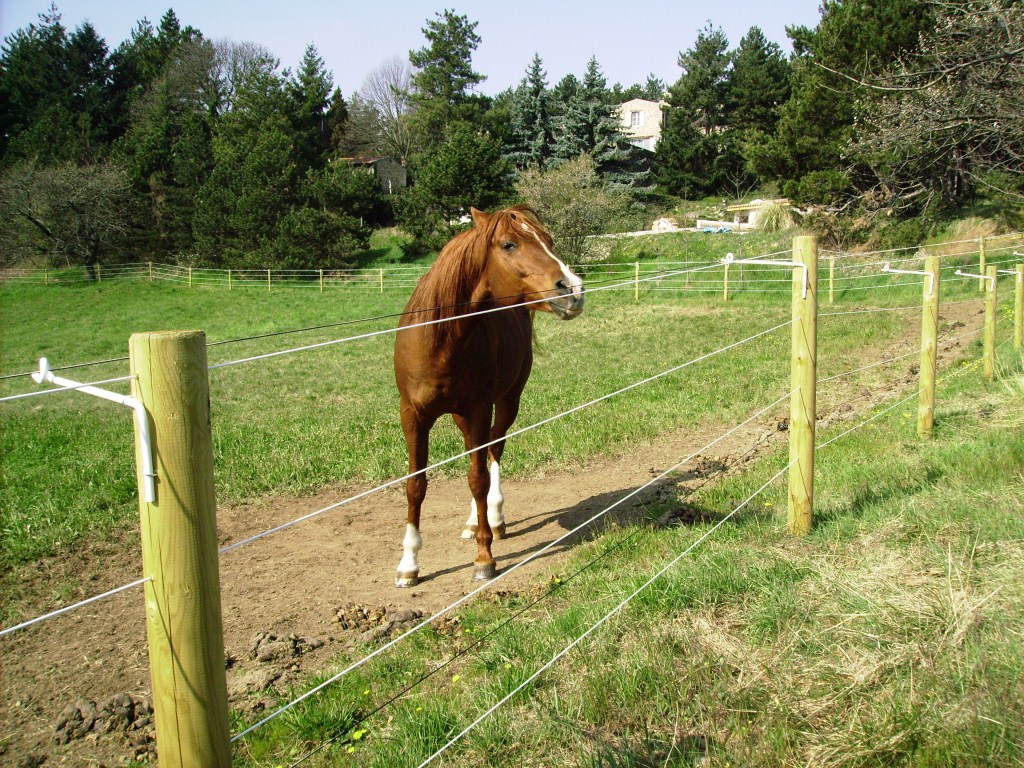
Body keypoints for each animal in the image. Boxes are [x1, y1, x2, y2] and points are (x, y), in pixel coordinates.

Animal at [391, 205, 585, 589]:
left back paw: (493, 519)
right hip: (460, 416)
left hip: (508, 402)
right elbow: (415, 485)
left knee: (493, 450)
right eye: (509, 244)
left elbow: (478, 478)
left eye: (548, 240)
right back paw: (472, 521)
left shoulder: (480, 409)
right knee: (475, 453)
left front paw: (484, 557)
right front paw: (409, 563)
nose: (573, 288)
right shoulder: (414, 415)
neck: (440, 339)